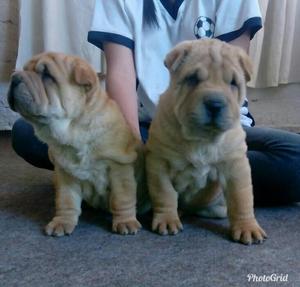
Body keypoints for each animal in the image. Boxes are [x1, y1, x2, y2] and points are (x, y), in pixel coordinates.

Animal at [8, 53, 150, 237]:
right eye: (24, 69)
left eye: (46, 75)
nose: (14, 77)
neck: (74, 130)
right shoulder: (65, 172)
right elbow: (66, 201)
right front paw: (61, 222)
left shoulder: (120, 168)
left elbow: (122, 199)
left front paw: (125, 222)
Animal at [146, 38, 266, 245]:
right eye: (192, 79)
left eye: (233, 83)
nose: (215, 104)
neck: (202, 138)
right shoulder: (159, 162)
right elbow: (165, 193)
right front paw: (167, 220)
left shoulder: (235, 165)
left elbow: (241, 197)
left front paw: (247, 227)